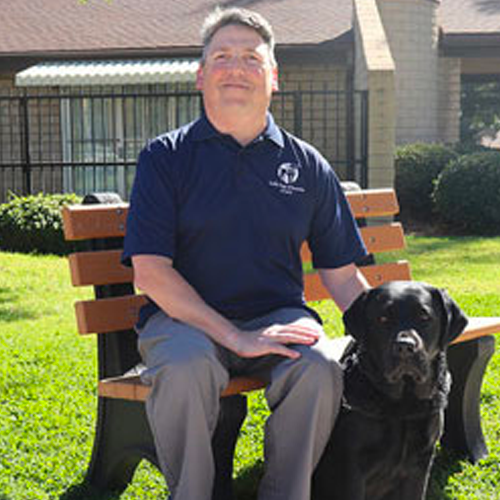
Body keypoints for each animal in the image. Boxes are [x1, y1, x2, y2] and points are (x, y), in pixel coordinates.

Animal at [312, 282, 468, 500]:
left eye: (424, 317)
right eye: (382, 319)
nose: (405, 347)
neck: (402, 406)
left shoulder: (420, 463)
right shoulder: (351, 468)